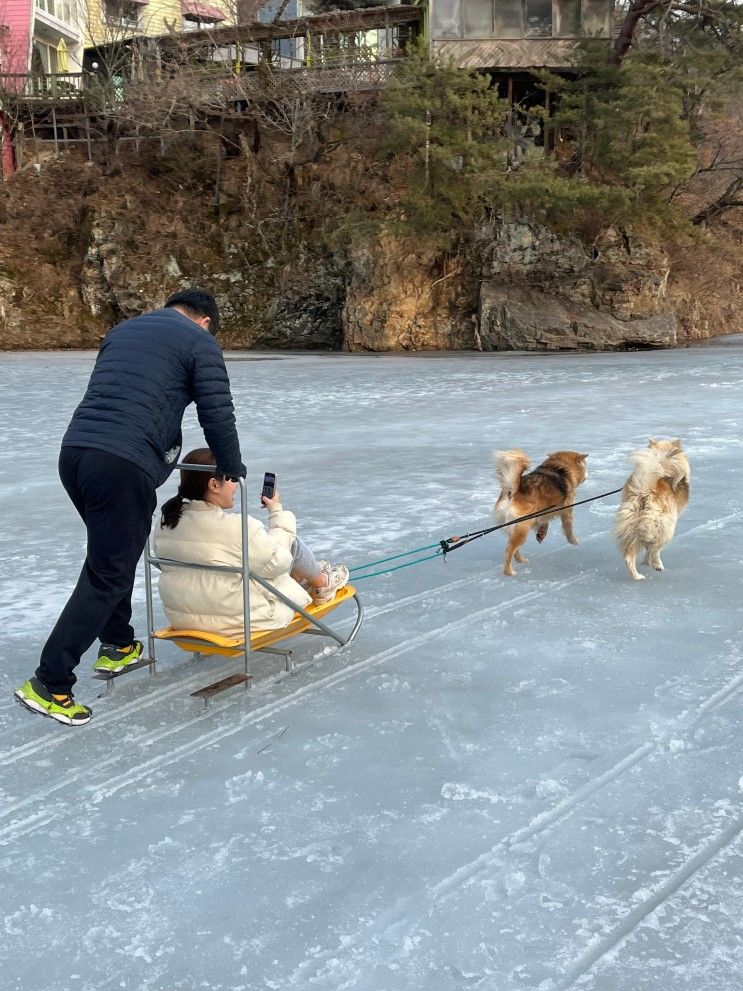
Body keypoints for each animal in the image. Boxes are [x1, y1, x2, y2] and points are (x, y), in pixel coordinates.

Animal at [492, 448, 588, 576]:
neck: (559, 467)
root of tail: (512, 492)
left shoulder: (541, 513)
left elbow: (544, 523)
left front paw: (541, 533)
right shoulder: (566, 511)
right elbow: (569, 529)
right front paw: (574, 541)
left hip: (517, 527)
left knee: (514, 548)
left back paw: (520, 560)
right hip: (523, 526)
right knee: (509, 549)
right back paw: (509, 571)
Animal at [616, 440, 692, 580]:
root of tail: (644, 491)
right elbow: (651, 548)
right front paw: (651, 563)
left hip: (631, 528)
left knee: (629, 557)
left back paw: (637, 576)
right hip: (666, 529)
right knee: (655, 549)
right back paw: (657, 565)